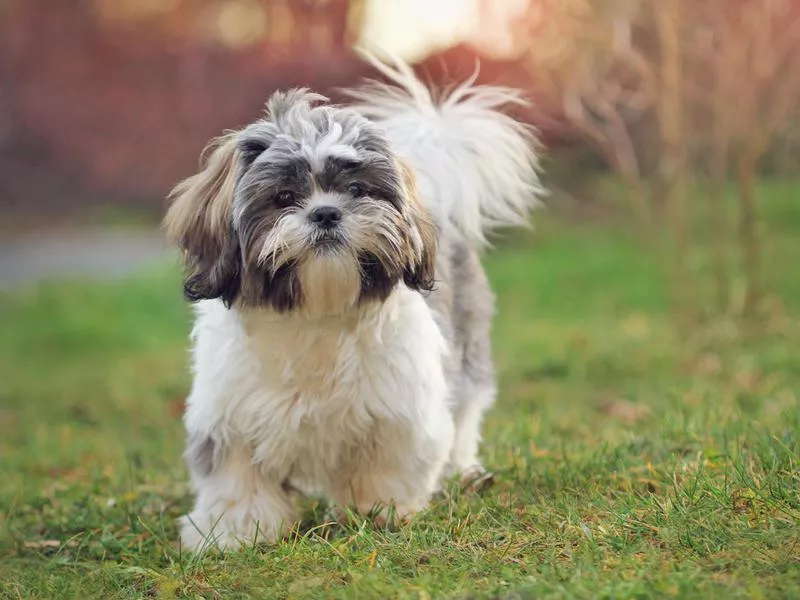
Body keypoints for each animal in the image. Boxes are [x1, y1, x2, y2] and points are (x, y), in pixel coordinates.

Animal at [165, 54, 540, 552]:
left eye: (359, 191)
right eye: (284, 197)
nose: (326, 212)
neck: (316, 312)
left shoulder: (401, 408)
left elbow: (387, 466)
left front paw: (379, 512)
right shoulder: (228, 415)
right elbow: (236, 478)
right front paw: (234, 531)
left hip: (467, 351)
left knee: (464, 416)